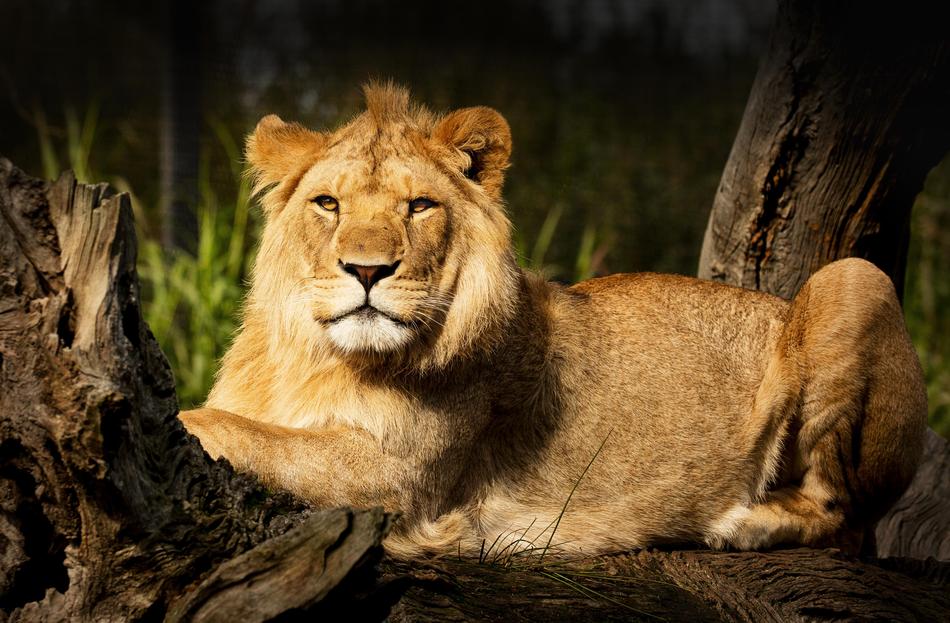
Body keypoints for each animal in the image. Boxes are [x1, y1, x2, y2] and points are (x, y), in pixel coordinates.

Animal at [179, 82, 927, 558]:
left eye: (419, 206)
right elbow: (238, 419)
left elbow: (232, 429)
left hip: (853, 278)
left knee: (847, 518)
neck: (313, 356)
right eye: (328, 204)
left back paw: (745, 524)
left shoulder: (400, 481)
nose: (367, 271)